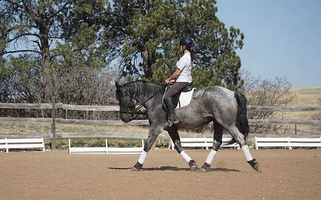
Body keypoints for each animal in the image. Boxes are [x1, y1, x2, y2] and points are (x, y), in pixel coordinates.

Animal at [114, 81, 258, 172]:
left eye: (121, 99)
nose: (124, 118)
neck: (153, 99)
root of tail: (232, 93)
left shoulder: (156, 127)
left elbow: (147, 146)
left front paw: (137, 165)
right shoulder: (171, 128)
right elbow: (178, 146)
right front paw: (192, 164)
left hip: (227, 123)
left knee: (240, 138)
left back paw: (254, 163)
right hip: (218, 122)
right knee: (217, 142)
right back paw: (204, 167)